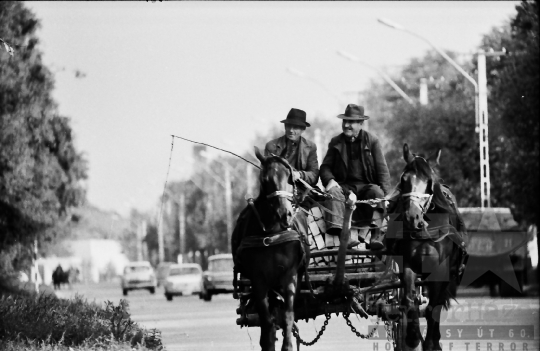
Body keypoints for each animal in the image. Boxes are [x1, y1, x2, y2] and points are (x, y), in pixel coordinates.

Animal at [231, 148, 308, 351]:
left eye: (290, 177)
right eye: (265, 180)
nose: (285, 214)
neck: (273, 232)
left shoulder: (290, 275)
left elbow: (288, 316)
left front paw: (287, 345)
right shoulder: (259, 279)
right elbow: (267, 323)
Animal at [388, 144, 468, 351]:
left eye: (428, 181)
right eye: (403, 179)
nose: (412, 217)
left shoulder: (440, 271)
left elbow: (433, 306)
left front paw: (431, 343)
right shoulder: (409, 264)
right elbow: (409, 300)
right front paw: (412, 336)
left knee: (437, 303)